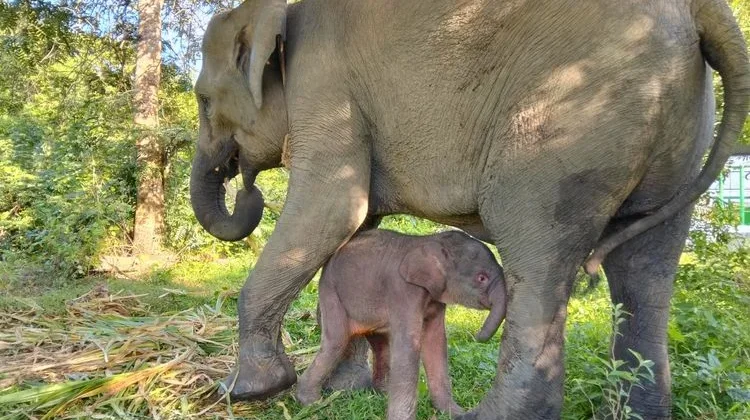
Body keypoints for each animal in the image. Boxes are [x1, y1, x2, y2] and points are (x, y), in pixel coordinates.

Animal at [295, 229, 507, 419]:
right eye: (482, 278)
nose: (478, 336)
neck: (431, 241)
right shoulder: (403, 291)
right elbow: (408, 346)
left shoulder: (434, 298)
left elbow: (436, 342)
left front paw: (455, 413)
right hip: (331, 291)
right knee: (336, 341)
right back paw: (311, 403)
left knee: (381, 344)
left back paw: (382, 393)